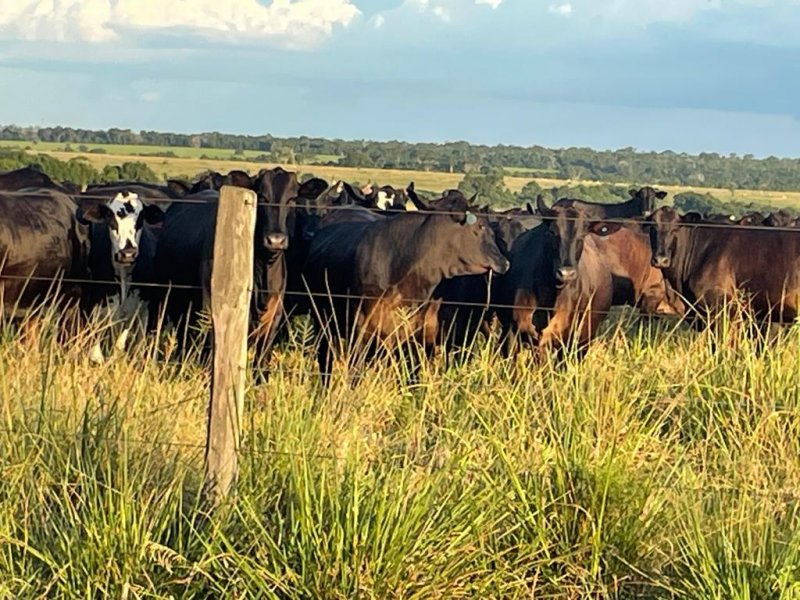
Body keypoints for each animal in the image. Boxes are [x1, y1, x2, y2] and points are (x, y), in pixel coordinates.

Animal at [304, 192, 510, 390]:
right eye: (481, 226)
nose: (505, 262)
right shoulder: (360, 329)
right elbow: (355, 374)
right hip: (322, 321)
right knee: (325, 361)